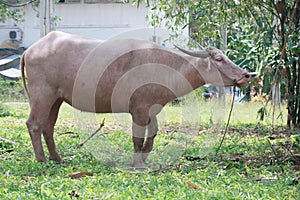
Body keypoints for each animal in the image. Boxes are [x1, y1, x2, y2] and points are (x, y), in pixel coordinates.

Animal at [19, 30, 252, 167]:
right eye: (219, 59)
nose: (246, 75)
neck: (166, 67)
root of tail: (31, 50)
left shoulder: (152, 108)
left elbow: (152, 135)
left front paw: (144, 158)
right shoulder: (138, 110)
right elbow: (137, 137)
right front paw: (137, 164)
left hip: (56, 98)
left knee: (48, 126)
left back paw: (57, 158)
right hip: (42, 94)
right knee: (34, 124)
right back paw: (42, 160)